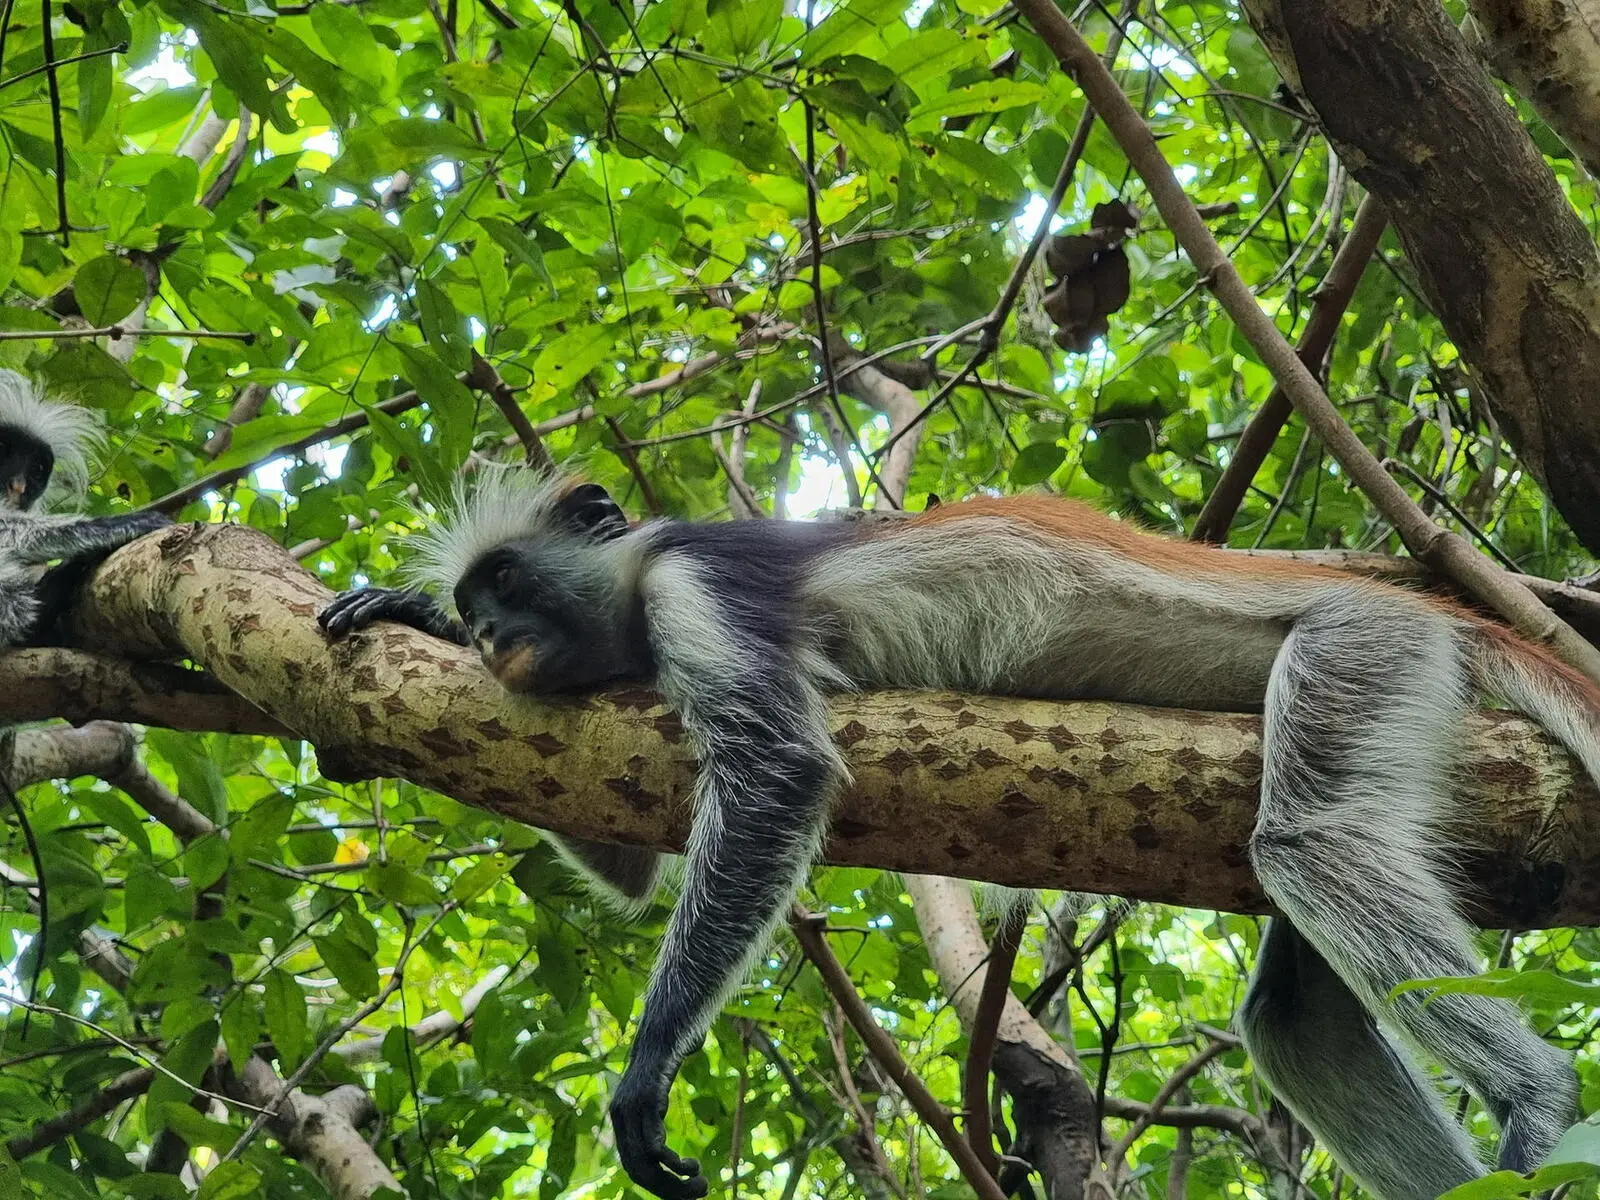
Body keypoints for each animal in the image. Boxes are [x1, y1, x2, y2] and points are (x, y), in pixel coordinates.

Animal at [319, 468, 1599, 1200]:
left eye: (509, 581)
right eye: (479, 600)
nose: (486, 634)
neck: (636, 586)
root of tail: (1429, 604)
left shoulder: (700, 582)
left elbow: (776, 774)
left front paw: (645, 1077)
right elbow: (630, 864)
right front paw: (409, 613)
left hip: (1359, 646)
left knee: (1312, 845)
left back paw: (1538, 1099)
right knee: (1297, 1011)